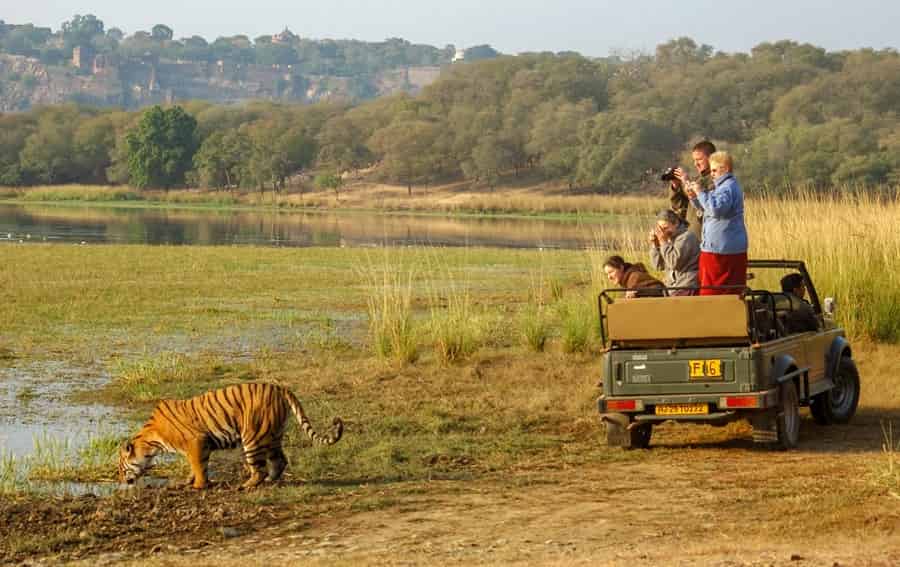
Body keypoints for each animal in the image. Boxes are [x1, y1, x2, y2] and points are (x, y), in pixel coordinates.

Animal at [118, 384, 342, 490]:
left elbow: (198, 467)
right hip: (273, 436)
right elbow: (195, 467)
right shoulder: (199, 446)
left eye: (120, 468)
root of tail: (281, 388)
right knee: (280, 460)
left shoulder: (196, 442)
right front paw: (187, 482)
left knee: (259, 469)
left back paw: (245, 486)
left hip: (252, 437)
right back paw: (271, 480)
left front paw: (199, 486)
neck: (150, 442)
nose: (121, 481)